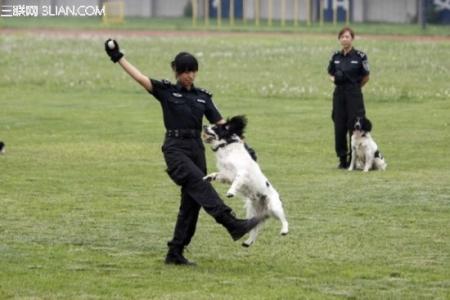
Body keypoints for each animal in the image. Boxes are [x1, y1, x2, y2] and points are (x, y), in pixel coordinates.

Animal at [201, 116, 286, 247]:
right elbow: (218, 174)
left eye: (214, 127)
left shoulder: (241, 173)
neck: (226, 147)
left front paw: (230, 192)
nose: (204, 125)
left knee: (284, 219)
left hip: (273, 206)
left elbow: (236, 181)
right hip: (253, 213)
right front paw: (209, 177)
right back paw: (248, 242)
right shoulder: (227, 174)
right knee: (255, 228)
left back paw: (284, 230)